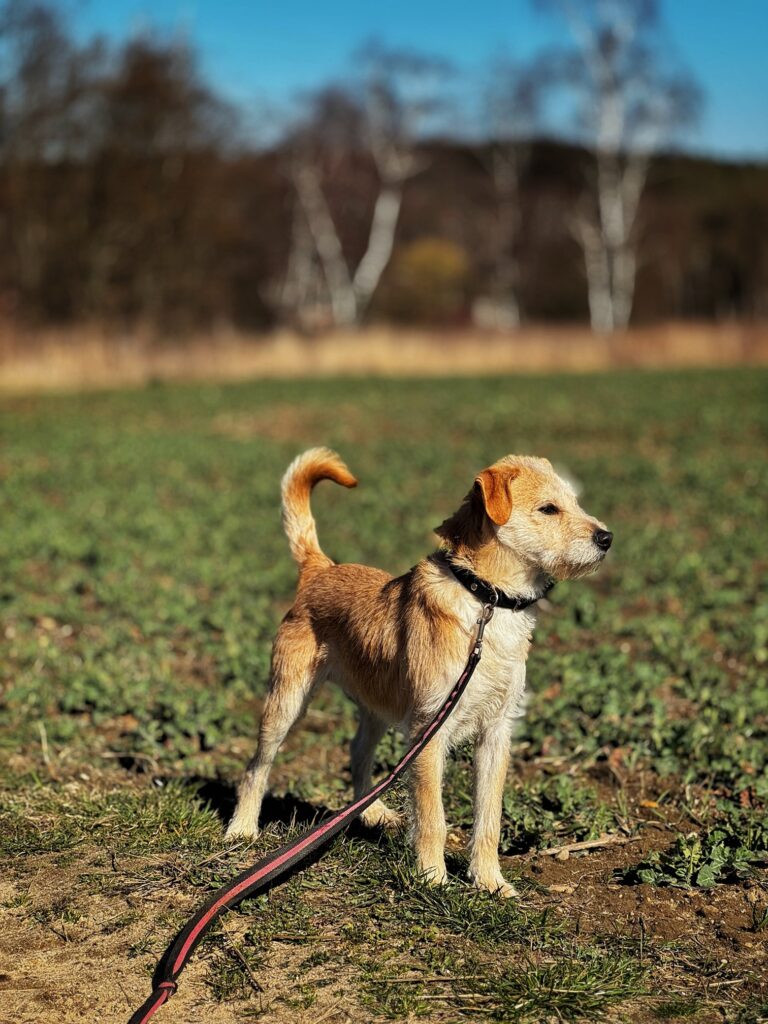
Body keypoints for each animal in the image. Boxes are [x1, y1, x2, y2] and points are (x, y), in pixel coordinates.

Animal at [226, 448, 612, 897]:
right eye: (548, 509)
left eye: (575, 502)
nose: (607, 538)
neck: (485, 600)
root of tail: (321, 568)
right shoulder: (430, 729)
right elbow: (432, 818)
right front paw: (433, 879)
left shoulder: (497, 732)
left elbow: (489, 820)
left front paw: (489, 882)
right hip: (285, 704)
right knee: (256, 767)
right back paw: (242, 829)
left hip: (377, 707)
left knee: (358, 752)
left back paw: (371, 812)